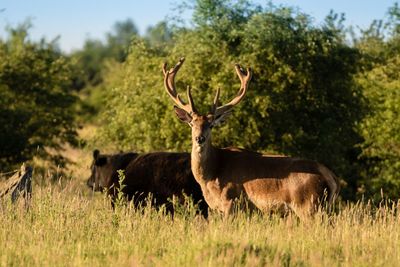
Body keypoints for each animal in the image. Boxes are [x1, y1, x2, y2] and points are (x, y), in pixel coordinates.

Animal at [162, 57, 340, 219]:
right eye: (192, 123)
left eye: (211, 125)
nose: (200, 138)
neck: (211, 175)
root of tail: (332, 178)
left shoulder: (231, 200)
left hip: (308, 205)